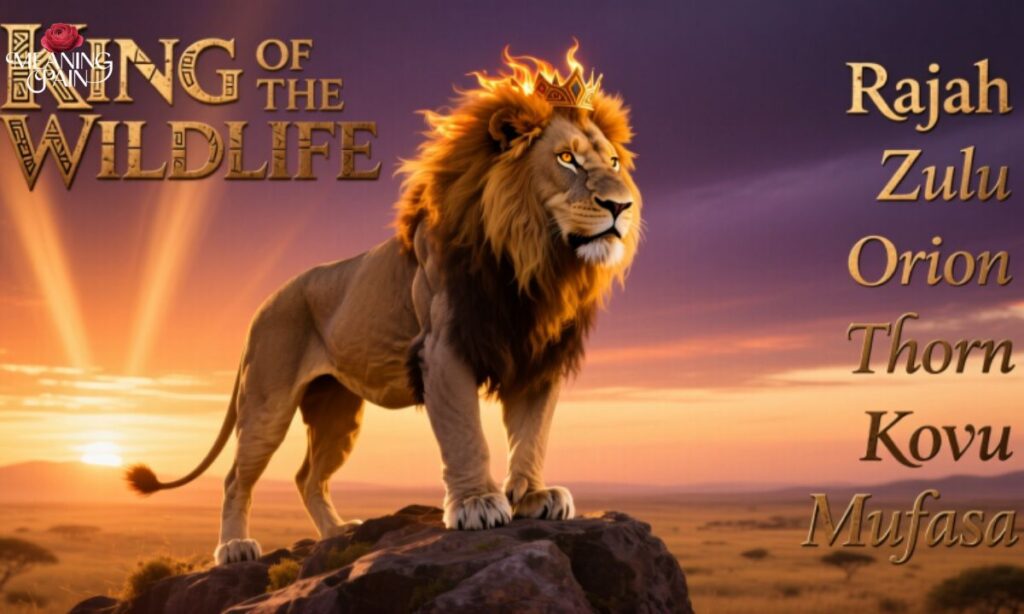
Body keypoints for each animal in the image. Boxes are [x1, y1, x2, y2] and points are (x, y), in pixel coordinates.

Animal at [126, 44, 641, 565]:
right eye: (566, 159)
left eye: (614, 163)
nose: (622, 207)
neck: (533, 261)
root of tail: (265, 302)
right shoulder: (443, 348)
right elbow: (465, 434)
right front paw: (476, 503)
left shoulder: (537, 355)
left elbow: (532, 434)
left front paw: (535, 496)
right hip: (267, 402)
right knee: (236, 477)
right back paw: (234, 547)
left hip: (337, 413)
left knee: (307, 476)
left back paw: (335, 532)